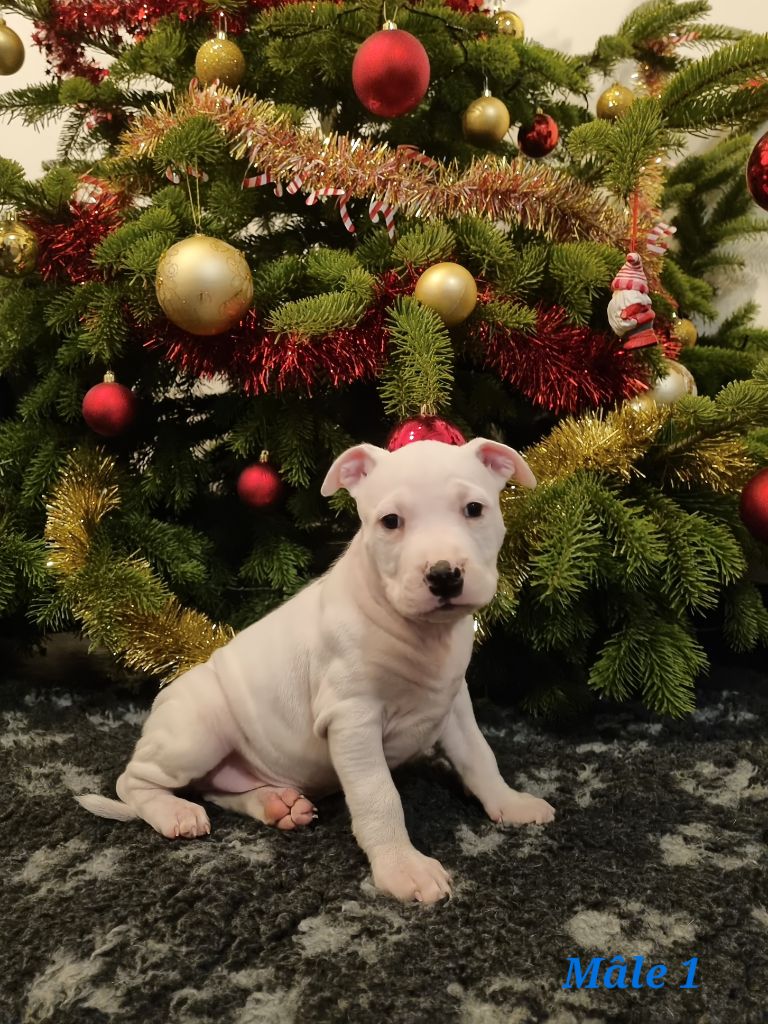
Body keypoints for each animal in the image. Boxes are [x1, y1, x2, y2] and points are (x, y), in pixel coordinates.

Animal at [78, 437, 555, 904]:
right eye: (391, 521)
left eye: (474, 509)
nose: (444, 575)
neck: (420, 633)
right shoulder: (352, 719)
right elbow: (379, 795)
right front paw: (402, 868)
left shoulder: (452, 702)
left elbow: (479, 756)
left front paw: (511, 804)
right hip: (195, 732)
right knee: (134, 782)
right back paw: (174, 811)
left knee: (217, 788)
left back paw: (275, 803)